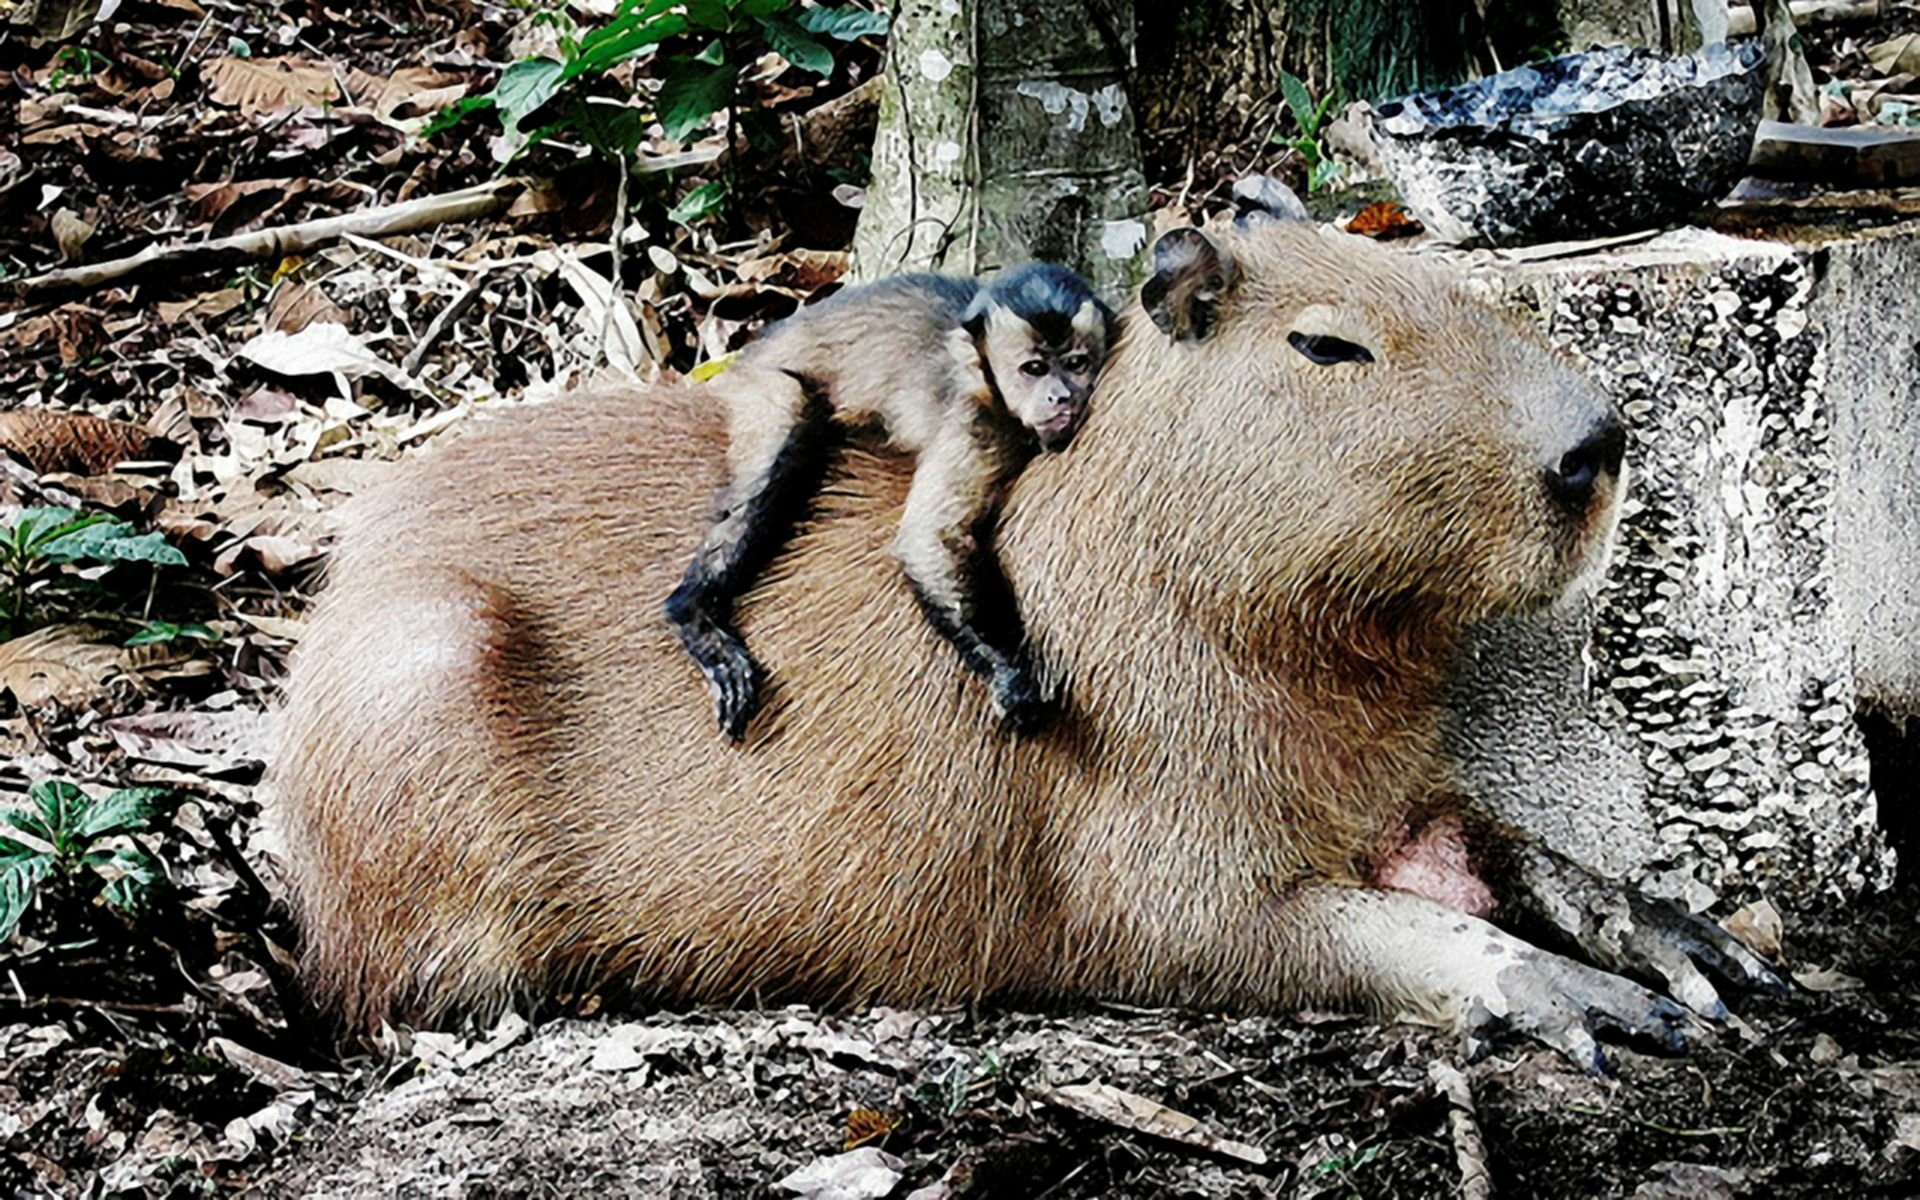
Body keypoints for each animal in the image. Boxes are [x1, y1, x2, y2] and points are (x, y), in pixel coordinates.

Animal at [664, 261, 1121, 741]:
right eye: (1033, 368)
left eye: (1076, 364)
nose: (1061, 396)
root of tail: (753, 351)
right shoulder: (976, 420)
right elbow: (930, 539)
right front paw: (1010, 675)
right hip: (766, 387)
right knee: (782, 456)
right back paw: (692, 611)